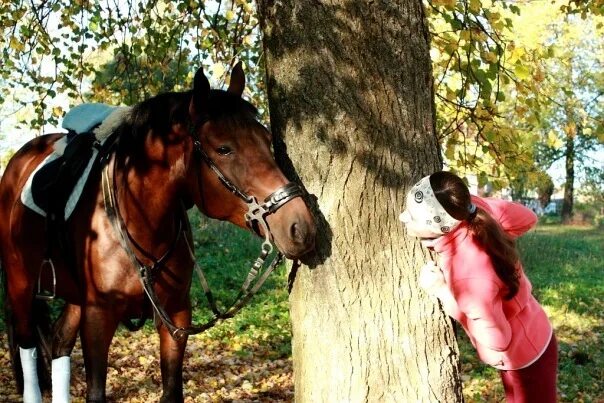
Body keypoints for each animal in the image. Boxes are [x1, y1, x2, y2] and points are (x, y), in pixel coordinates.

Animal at [0, 64, 314, 403]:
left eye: (267, 140)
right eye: (224, 149)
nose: (301, 226)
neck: (140, 219)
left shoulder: (175, 315)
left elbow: (172, 390)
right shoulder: (99, 317)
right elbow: (95, 390)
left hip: (74, 296)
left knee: (59, 342)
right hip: (21, 286)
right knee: (28, 351)